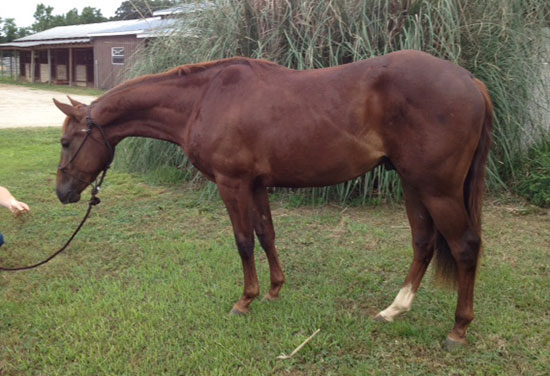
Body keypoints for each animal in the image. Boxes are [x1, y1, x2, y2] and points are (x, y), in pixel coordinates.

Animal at [55, 50, 496, 350]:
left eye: (65, 142)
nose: (63, 192)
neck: (205, 98)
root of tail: (470, 81)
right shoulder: (256, 185)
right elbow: (266, 234)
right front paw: (273, 290)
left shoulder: (232, 184)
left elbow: (243, 241)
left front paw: (245, 301)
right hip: (412, 183)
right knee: (423, 242)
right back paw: (394, 310)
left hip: (436, 188)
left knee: (464, 246)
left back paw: (458, 328)